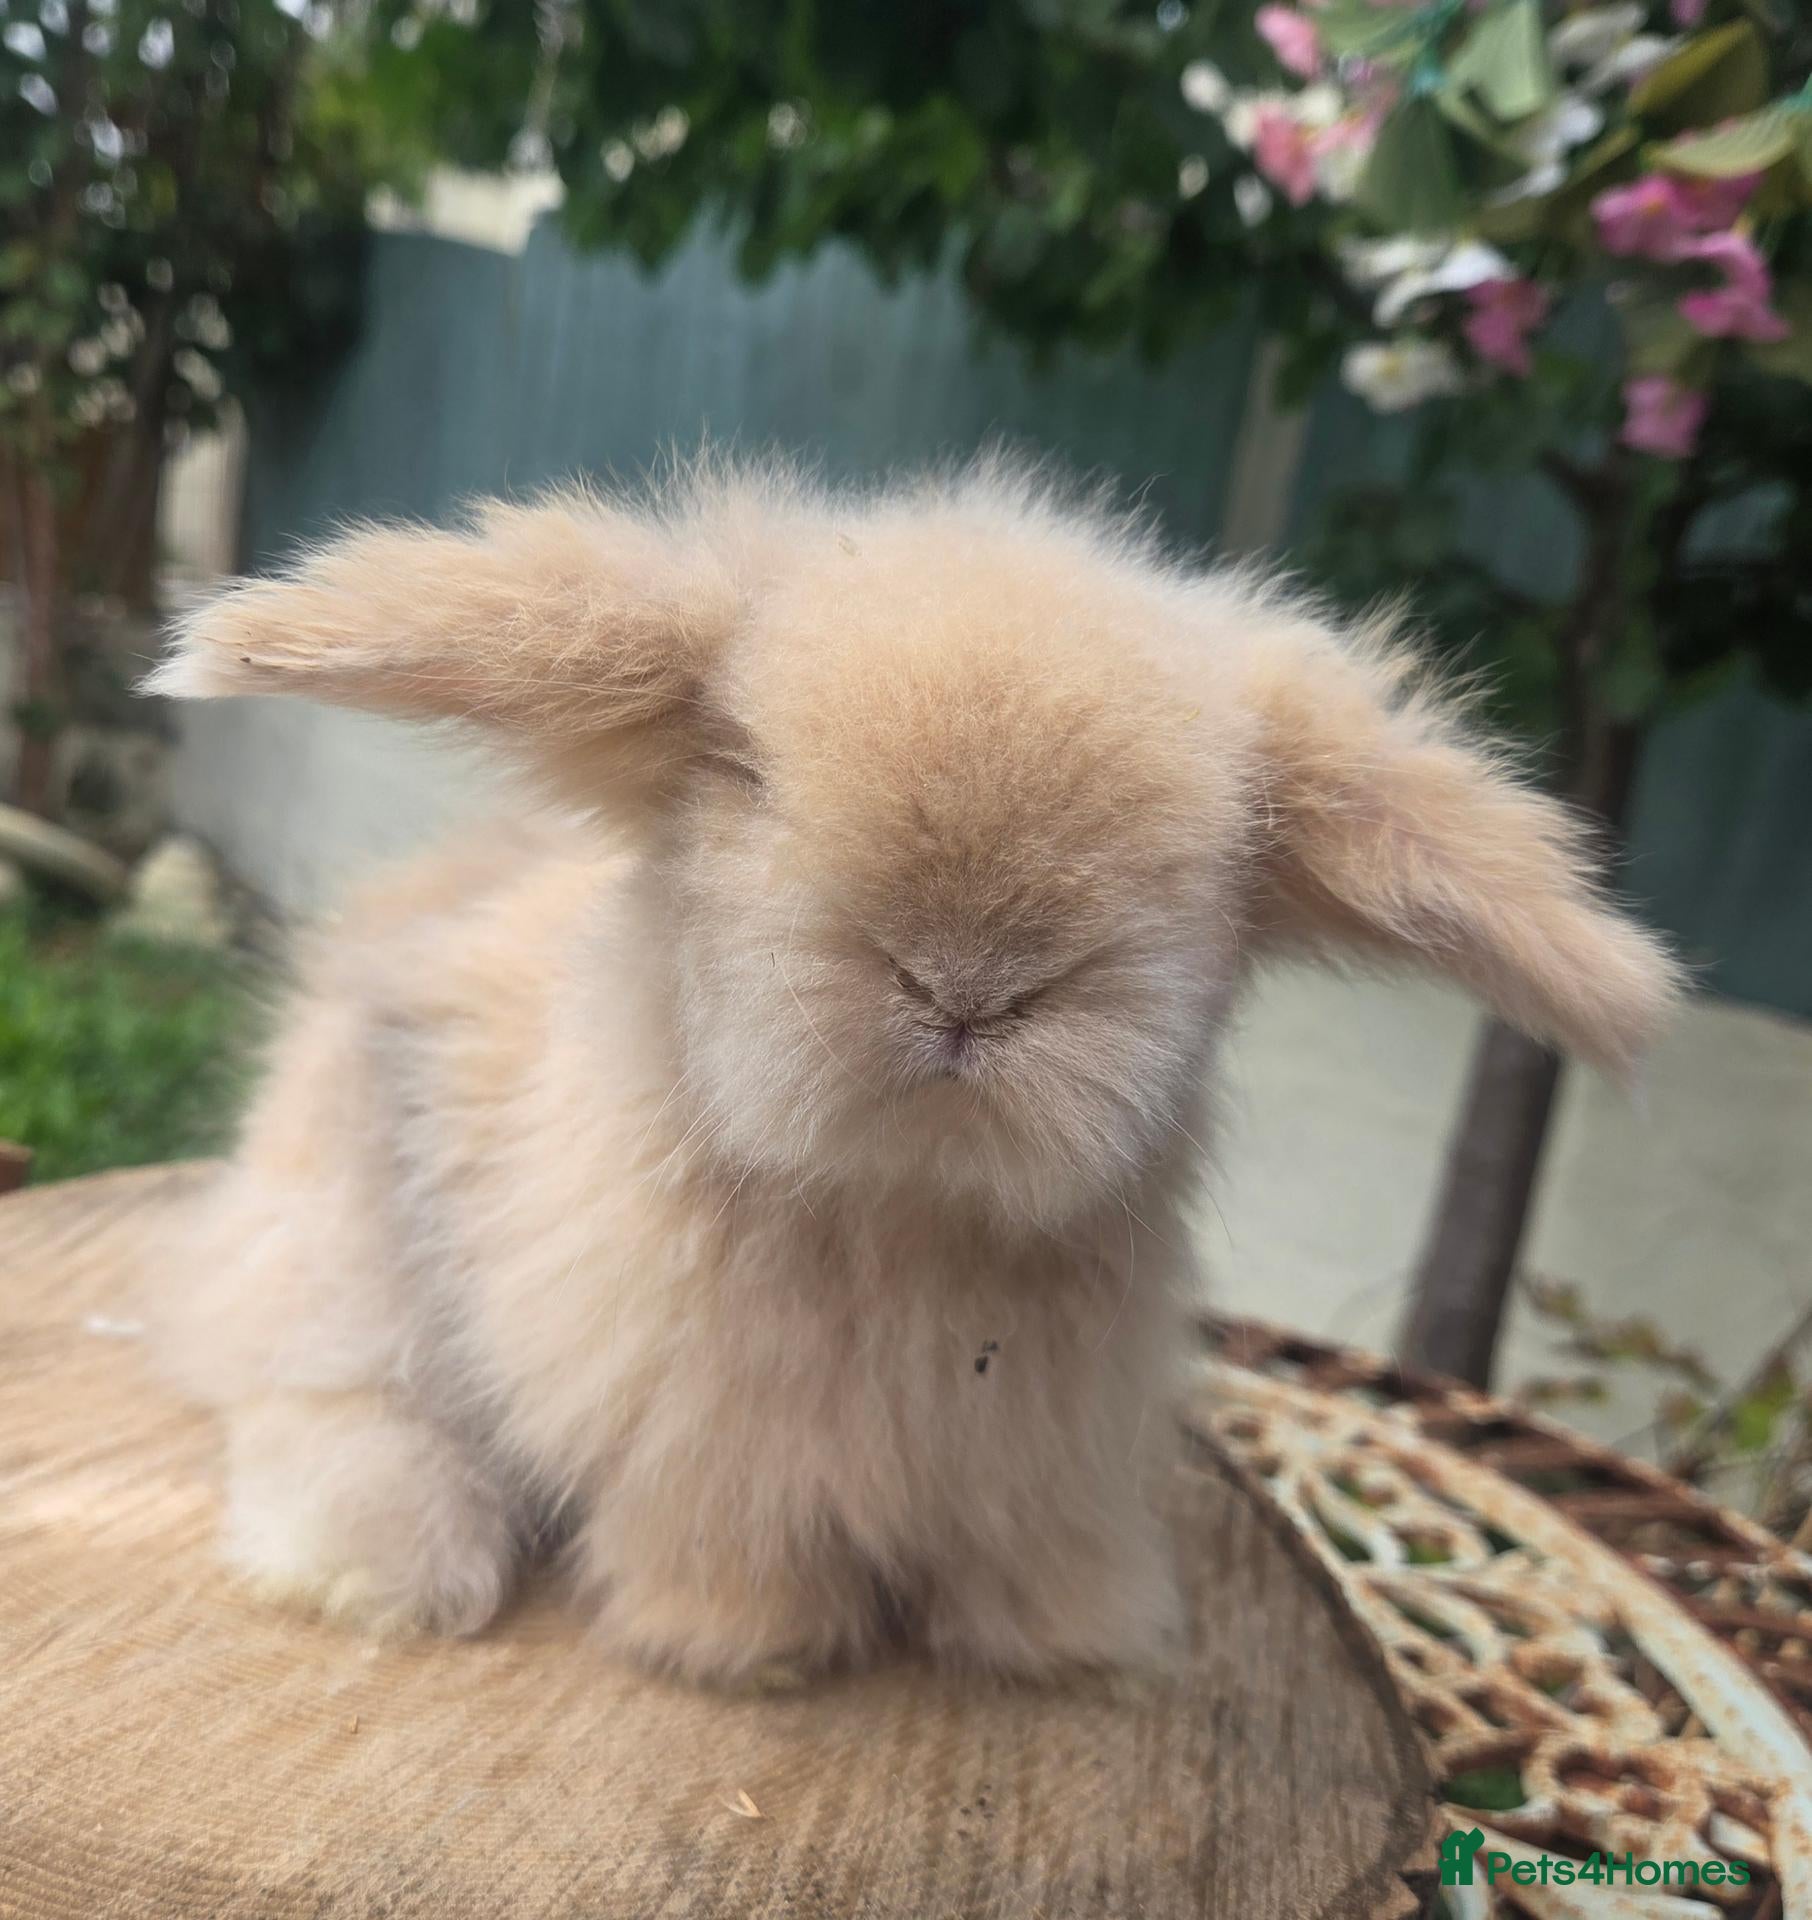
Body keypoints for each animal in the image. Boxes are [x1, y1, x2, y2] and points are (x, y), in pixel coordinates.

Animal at [142, 457, 1683, 1688]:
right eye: (745, 771)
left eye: (1218, 854)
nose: (966, 982)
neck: (907, 1201)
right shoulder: (707, 1434)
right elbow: (723, 1538)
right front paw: (748, 1649)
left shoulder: (1036, 1452)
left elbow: (1030, 1556)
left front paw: (1068, 1638)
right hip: (347, 1229)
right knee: (313, 1377)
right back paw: (374, 1572)